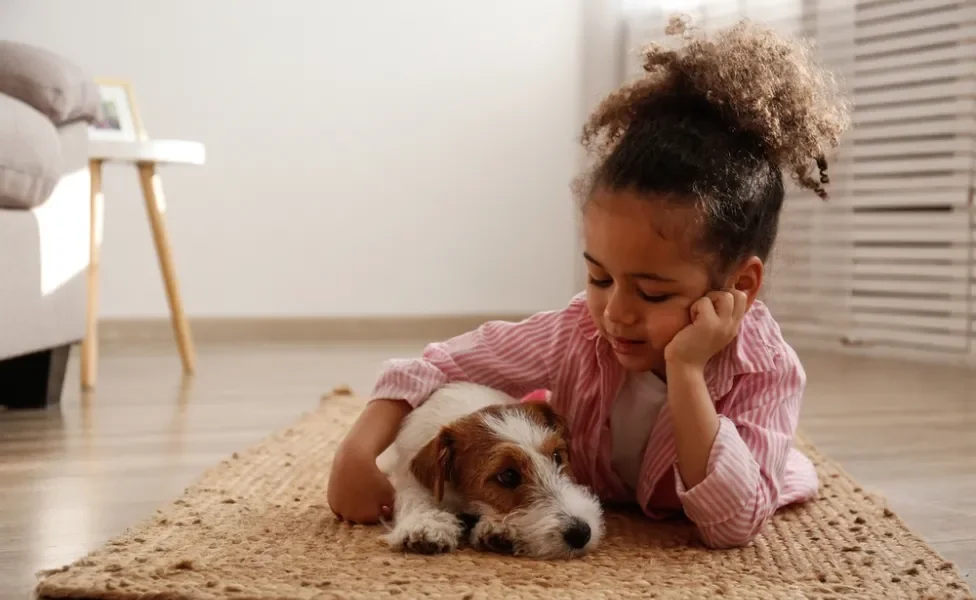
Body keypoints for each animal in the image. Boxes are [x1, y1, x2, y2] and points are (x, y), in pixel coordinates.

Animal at [374, 382, 604, 560]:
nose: (581, 533)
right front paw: (424, 525)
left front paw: (500, 530)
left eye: (557, 456)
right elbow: (414, 497)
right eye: (508, 476)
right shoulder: (407, 478)